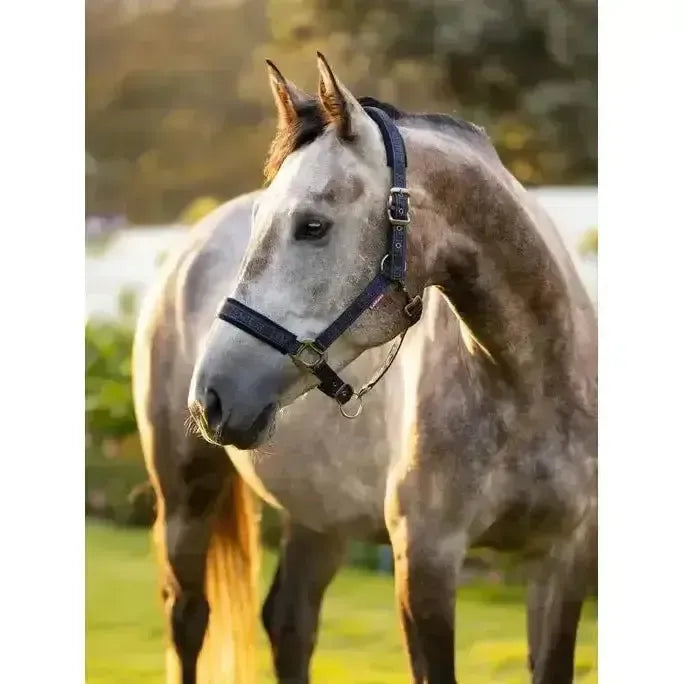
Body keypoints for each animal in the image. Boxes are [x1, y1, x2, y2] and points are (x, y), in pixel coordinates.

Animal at [134, 53, 597, 684]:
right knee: (188, 618)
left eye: (312, 225)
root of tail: (188, 248)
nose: (211, 397)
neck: (524, 388)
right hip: (186, 496)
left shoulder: (562, 561)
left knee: (289, 622)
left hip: (320, 514)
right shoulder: (425, 562)